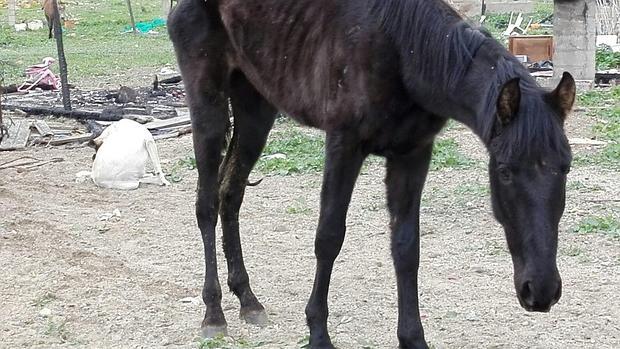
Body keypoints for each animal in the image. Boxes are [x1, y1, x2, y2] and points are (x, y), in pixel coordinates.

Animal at [167, 0, 572, 346]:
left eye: (566, 167)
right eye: (504, 171)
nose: (541, 291)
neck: (404, 49)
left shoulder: (412, 155)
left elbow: (406, 247)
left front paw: (412, 338)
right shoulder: (344, 144)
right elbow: (329, 237)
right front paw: (318, 335)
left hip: (255, 107)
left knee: (230, 193)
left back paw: (248, 299)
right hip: (207, 104)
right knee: (206, 204)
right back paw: (214, 312)